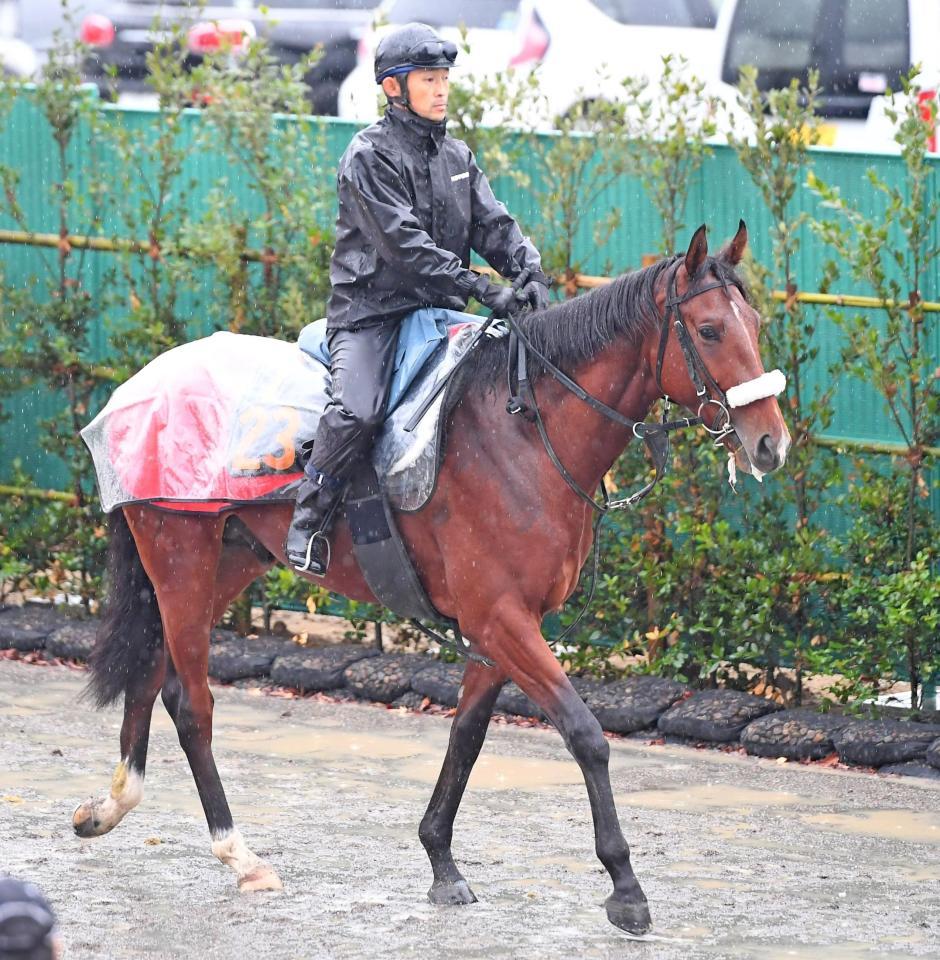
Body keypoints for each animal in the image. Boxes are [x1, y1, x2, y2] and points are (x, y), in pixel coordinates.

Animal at [73, 223, 789, 936]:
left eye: (754, 322)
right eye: (708, 330)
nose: (770, 444)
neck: (524, 433)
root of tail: (139, 386)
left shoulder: (502, 626)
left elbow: (466, 735)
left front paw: (441, 860)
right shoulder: (500, 618)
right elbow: (585, 734)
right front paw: (625, 885)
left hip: (227, 560)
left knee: (154, 672)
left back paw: (110, 806)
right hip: (179, 552)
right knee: (193, 703)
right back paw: (239, 855)